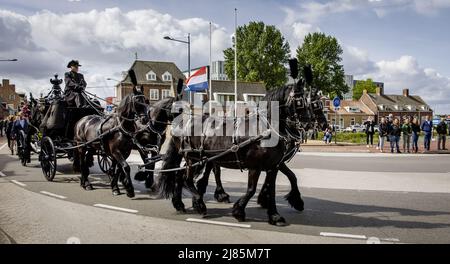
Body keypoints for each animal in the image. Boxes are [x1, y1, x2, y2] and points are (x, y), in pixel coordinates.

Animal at [73, 69, 149, 197]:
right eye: (137, 101)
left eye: (146, 101)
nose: (145, 119)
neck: (121, 127)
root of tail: (81, 120)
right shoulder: (116, 151)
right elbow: (126, 167)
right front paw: (129, 189)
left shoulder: (125, 152)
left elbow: (117, 169)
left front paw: (115, 187)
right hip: (81, 146)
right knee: (83, 163)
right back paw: (86, 183)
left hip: (92, 147)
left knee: (86, 162)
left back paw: (83, 182)